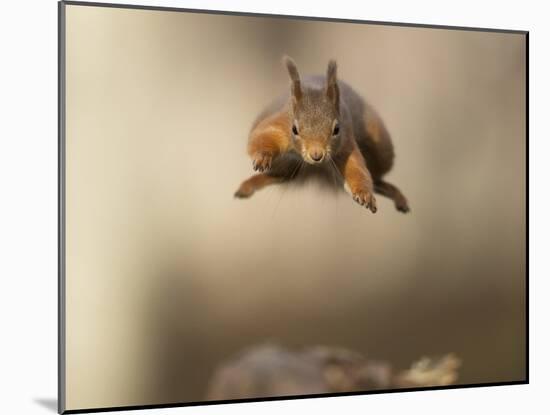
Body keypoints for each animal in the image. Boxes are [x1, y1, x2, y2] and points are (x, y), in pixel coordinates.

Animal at [234, 57, 410, 214]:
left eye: (336, 129)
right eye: (294, 129)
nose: (317, 155)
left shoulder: (346, 141)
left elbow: (356, 168)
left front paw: (364, 194)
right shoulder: (280, 124)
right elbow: (262, 137)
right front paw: (262, 157)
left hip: (379, 149)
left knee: (377, 179)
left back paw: (396, 195)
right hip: (284, 162)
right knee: (281, 176)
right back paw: (249, 185)